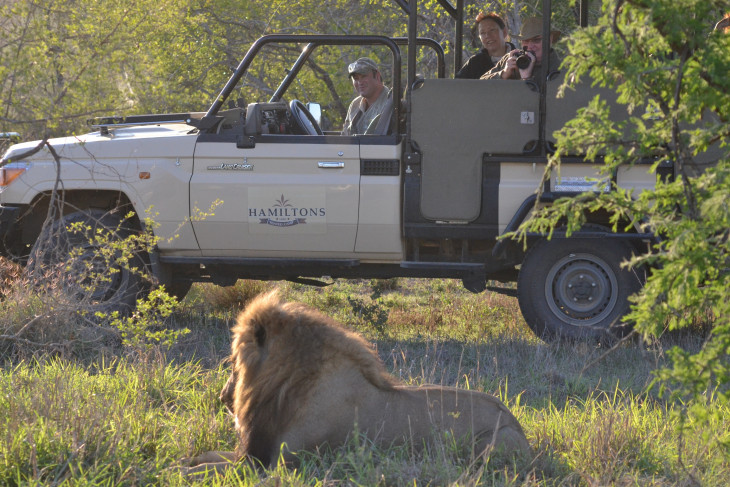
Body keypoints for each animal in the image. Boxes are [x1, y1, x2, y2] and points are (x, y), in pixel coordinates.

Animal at [182, 292, 528, 474]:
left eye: (233, 362)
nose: (223, 397)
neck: (288, 385)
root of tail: (515, 421)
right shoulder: (255, 453)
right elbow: (207, 457)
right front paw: (185, 460)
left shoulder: (279, 464)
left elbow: (208, 468)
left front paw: (181, 470)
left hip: (488, 447)